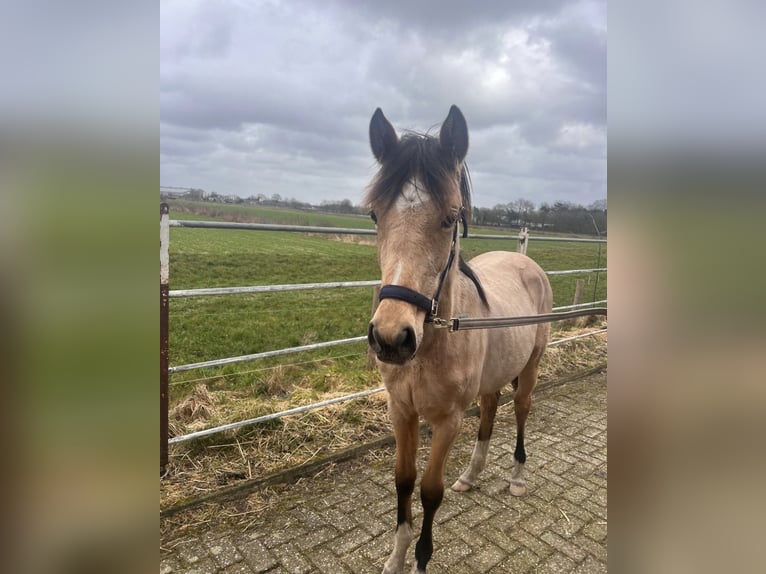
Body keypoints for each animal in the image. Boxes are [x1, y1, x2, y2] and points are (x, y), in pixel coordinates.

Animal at [364, 105, 553, 573]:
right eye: (375, 215)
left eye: (450, 217)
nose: (392, 338)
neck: (431, 347)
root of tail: (526, 262)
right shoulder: (402, 413)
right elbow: (403, 481)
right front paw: (395, 557)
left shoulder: (448, 421)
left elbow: (430, 490)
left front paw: (421, 558)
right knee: (489, 412)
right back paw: (471, 475)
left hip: (530, 369)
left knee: (520, 411)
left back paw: (517, 477)